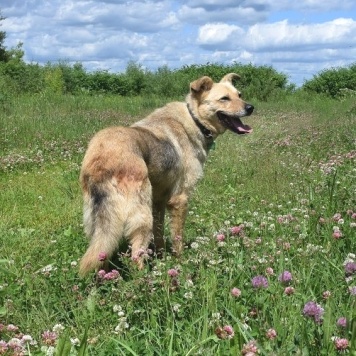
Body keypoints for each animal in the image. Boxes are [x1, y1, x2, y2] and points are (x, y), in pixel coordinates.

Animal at [79, 73, 254, 276]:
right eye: (224, 99)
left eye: (239, 95)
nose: (250, 108)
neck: (195, 119)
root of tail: (101, 159)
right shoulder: (179, 200)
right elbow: (177, 238)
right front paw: (180, 263)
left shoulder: (158, 201)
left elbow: (160, 234)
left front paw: (162, 258)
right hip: (141, 217)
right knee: (135, 257)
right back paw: (145, 280)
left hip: (99, 220)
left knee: (102, 252)